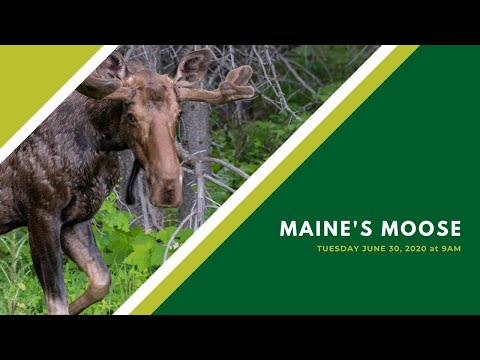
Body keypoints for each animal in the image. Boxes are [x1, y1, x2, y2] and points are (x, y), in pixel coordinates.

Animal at [0, 48, 255, 316]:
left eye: (179, 113)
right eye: (131, 116)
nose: (168, 188)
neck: (96, 145)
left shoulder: (76, 218)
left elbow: (101, 282)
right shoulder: (41, 212)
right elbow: (57, 302)